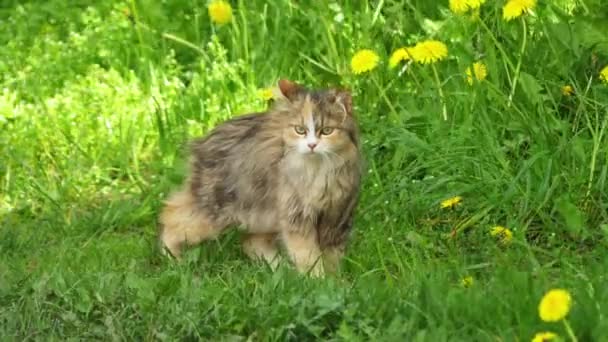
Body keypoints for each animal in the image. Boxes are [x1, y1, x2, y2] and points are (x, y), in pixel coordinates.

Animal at [159, 79, 364, 276]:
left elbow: (331, 257)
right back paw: (174, 259)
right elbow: (308, 255)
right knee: (171, 216)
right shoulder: (297, 215)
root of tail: (205, 138)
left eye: (327, 131)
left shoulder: (338, 216)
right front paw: (317, 280)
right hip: (216, 209)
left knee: (251, 242)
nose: (312, 145)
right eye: (300, 130)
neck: (319, 172)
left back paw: (280, 268)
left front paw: (335, 280)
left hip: (262, 213)